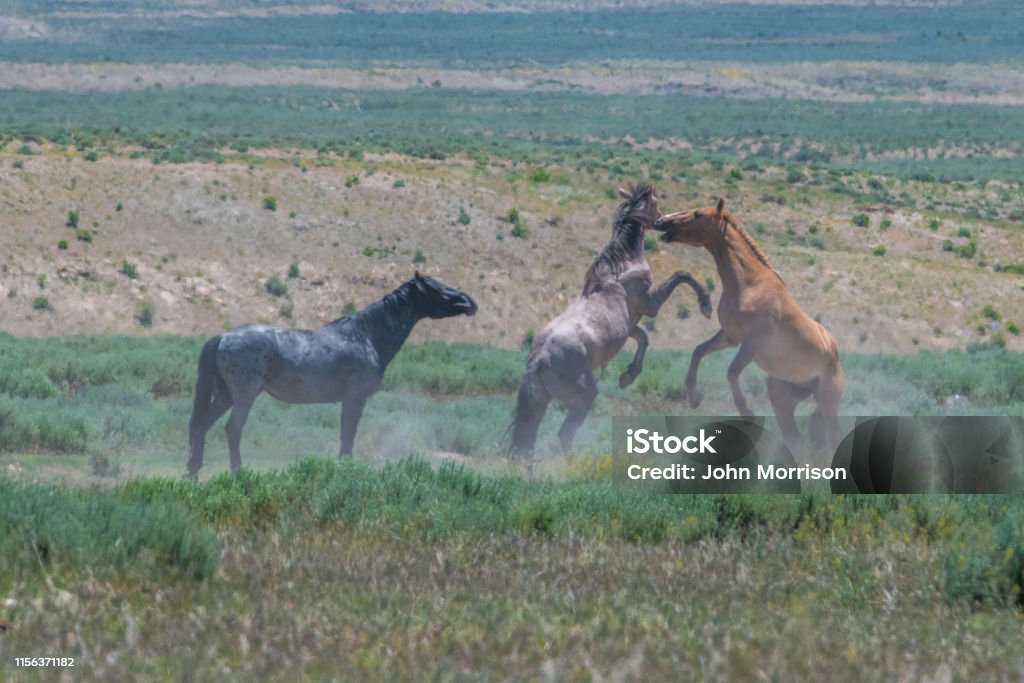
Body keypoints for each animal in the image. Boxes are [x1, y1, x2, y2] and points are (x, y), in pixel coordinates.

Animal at [187, 270, 475, 479]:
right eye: (434, 288)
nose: (469, 302)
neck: (366, 336)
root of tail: (224, 336)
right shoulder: (354, 399)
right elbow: (348, 435)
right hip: (244, 396)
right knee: (232, 429)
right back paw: (238, 472)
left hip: (225, 395)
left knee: (202, 424)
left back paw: (192, 472)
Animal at [512, 185, 712, 464]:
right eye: (656, 202)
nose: (662, 220)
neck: (621, 264)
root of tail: (539, 361)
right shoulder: (651, 304)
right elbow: (682, 275)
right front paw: (706, 304)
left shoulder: (631, 325)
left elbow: (644, 338)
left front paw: (628, 375)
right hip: (583, 396)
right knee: (564, 434)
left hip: (539, 403)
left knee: (527, 442)